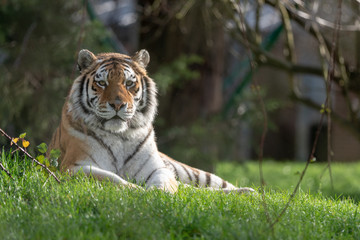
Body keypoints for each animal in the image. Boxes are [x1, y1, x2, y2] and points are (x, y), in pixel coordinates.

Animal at [49, 49, 255, 194]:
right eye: (102, 83)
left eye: (129, 83)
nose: (118, 105)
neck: (119, 136)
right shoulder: (74, 167)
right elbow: (113, 179)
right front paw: (138, 191)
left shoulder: (156, 167)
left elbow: (164, 181)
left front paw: (158, 194)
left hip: (191, 172)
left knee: (215, 186)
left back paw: (248, 192)